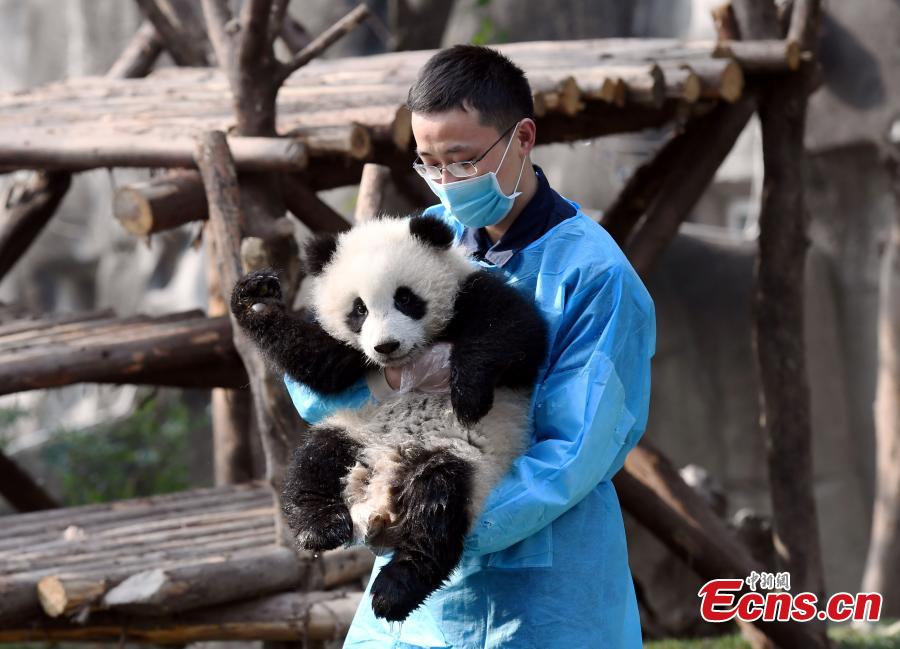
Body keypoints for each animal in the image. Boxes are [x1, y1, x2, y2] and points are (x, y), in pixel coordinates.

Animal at [230, 214, 548, 622]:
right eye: (359, 310)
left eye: (405, 298)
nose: (386, 346)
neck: (414, 355)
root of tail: (384, 479)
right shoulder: (351, 356)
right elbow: (319, 362)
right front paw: (255, 298)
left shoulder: (473, 293)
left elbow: (516, 334)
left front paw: (468, 395)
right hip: (357, 432)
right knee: (316, 459)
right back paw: (322, 528)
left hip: (464, 458)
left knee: (437, 507)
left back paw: (394, 589)